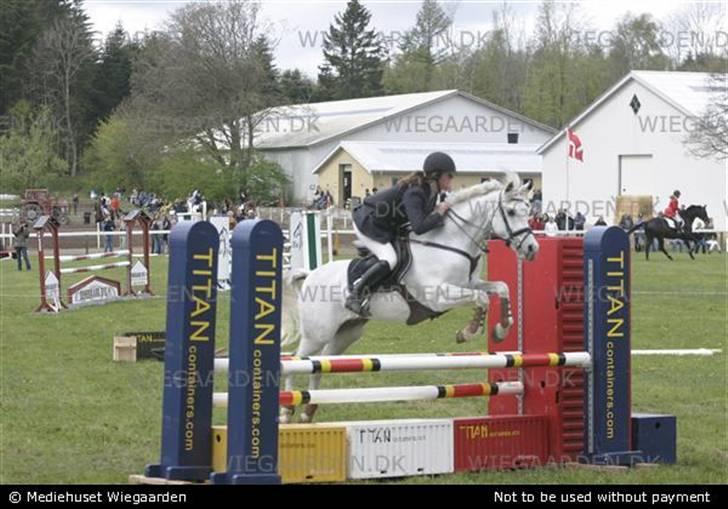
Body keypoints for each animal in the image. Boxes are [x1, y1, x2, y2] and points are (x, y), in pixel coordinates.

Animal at [278, 173, 540, 422]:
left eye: (528, 211)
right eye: (511, 212)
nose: (531, 249)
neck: (450, 243)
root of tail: (310, 274)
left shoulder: (469, 283)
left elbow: (501, 288)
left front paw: (501, 329)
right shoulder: (438, 296)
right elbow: (481, 298)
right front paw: (469, 331)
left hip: (346, 332)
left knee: (320, 363)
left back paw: (308, 411)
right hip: (318, 333)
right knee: (297, 361)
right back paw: (287, 410)